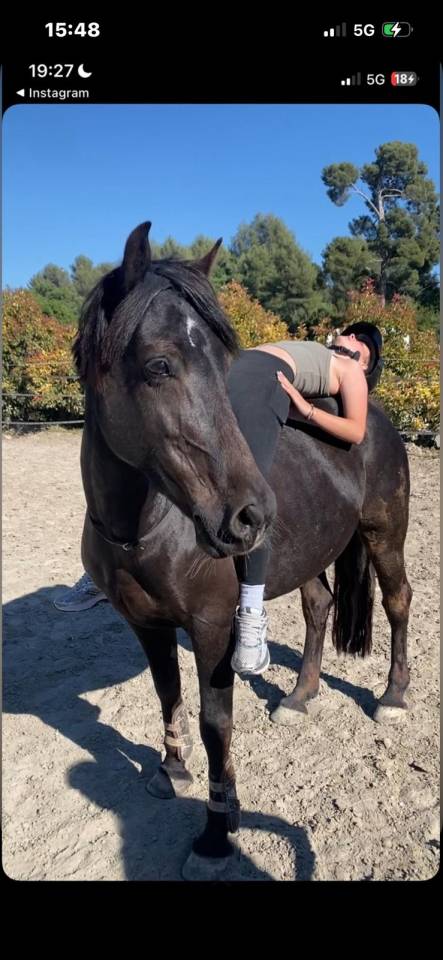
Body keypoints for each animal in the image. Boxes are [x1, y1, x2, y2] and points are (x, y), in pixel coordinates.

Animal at [73, 222, 412, 880]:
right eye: (159, 365)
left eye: (222, 361)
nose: (254, 515)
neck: (143, 526)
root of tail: (378, 420)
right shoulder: (145, 623)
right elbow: (167, 693)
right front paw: (170, 770)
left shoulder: (209, 625)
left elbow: (216, 722)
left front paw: (216, 831)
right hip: (308, 550)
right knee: (319, 606)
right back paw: (301, 696)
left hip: (385, 533)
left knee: (398, 601)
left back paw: (392, 698)